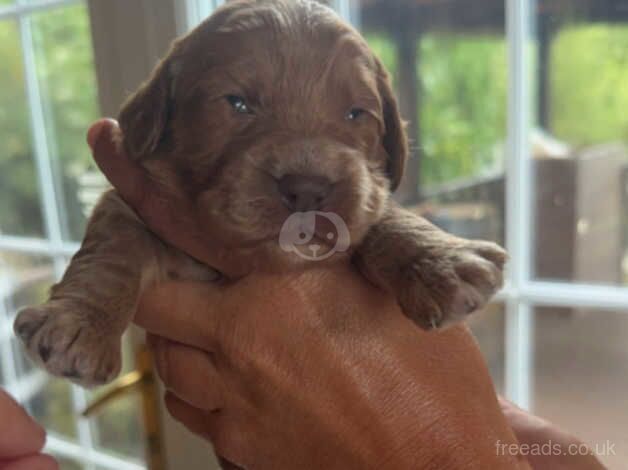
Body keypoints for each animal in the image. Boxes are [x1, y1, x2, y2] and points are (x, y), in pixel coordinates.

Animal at [13, 0, 506, 388]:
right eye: (237, 103)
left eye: (356, 113)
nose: (307, 189)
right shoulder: (132, 203)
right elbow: (112, 249)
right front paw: (80, 325)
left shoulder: (367, 193)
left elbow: (383, 214)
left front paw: (441, 262)